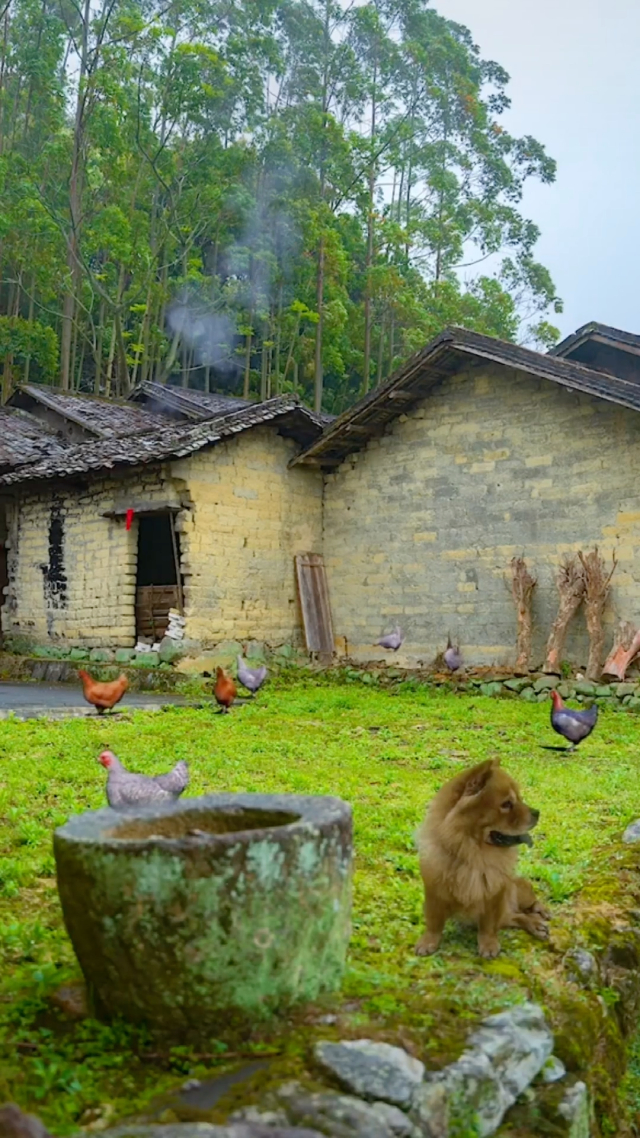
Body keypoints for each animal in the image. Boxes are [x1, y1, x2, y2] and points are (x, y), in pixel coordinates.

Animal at [414, 755, 548, 960]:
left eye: (519, 799)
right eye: (506, 804)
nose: (537, 813)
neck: (473, 854)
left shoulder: (494, 894)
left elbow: (488, 925)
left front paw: (488, 945)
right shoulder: (434, 891)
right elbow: (434, 922)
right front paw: (428, 942)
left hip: (516, 890)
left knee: (530, 903)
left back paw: (542, 914)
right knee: (516, 917)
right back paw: (536, 925)